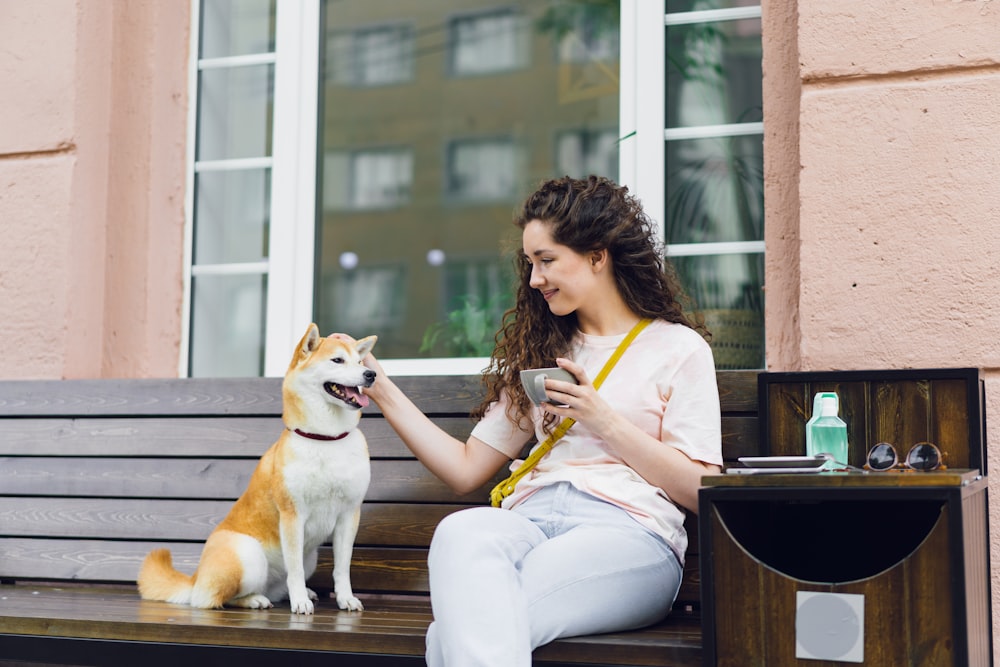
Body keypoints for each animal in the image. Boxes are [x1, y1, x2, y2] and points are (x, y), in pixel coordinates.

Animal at [139, 324, 376, 616]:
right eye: (337, 360)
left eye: (360, 362)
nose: (371, 374)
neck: (325, 439)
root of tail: (195, 577)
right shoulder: (292, 515)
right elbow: (295, 570)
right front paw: (300, 601)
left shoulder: (348, 515)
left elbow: (342, 568)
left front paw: (345, 598)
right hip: (247, 555)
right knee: (212, 599)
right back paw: (255, 600)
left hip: (309, 557)